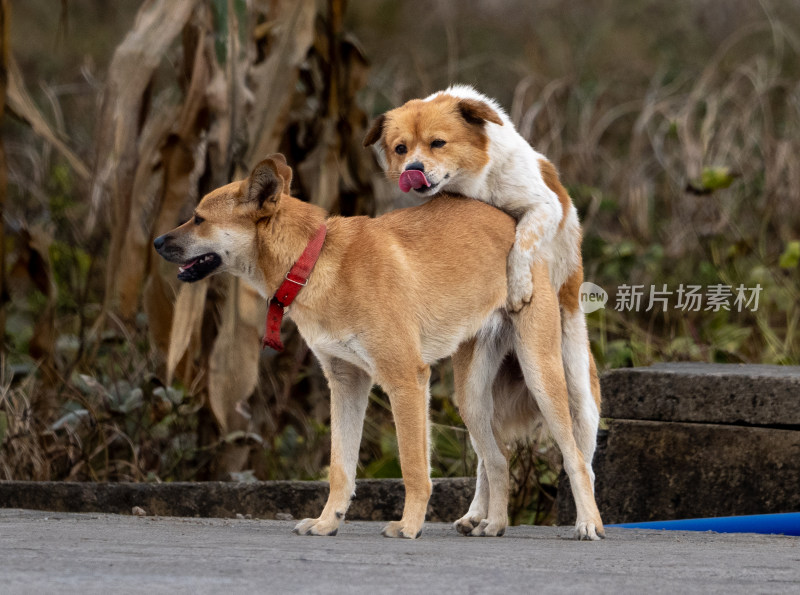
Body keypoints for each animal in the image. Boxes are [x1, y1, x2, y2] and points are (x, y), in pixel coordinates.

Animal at [155, 152, 608, 540]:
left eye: (198, 219)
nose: (158, 242)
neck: (315, 261)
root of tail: (513, 222)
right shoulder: (347, 384)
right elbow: (340, 468)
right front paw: (328, 522)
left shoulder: (405, 381)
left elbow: (413, 468)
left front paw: (409, 526)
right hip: (471, 399)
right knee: (498, 460)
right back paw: (494, 524)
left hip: (541, 376)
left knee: (575, 458)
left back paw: (588, 524)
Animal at [366, 86, 604, 536]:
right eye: (401, 148)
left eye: (438, 143)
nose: (413, 170)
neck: (477, 184)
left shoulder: (543, 206)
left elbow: (523, 239)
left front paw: (519, 286)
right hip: (475, 396)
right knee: (489, 459)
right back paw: (478, 514)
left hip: (574, 391)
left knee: (580, 460)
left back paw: (587, 520)